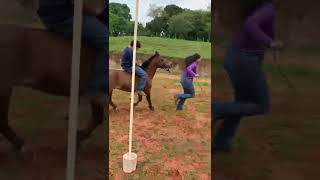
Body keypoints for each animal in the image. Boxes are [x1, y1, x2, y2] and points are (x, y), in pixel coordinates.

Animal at [0, 0, 107, 154]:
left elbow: (97, 117)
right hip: (5, 88)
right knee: (2, 120)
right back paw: (20, 144)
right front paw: (78, 138)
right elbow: (98, 117)